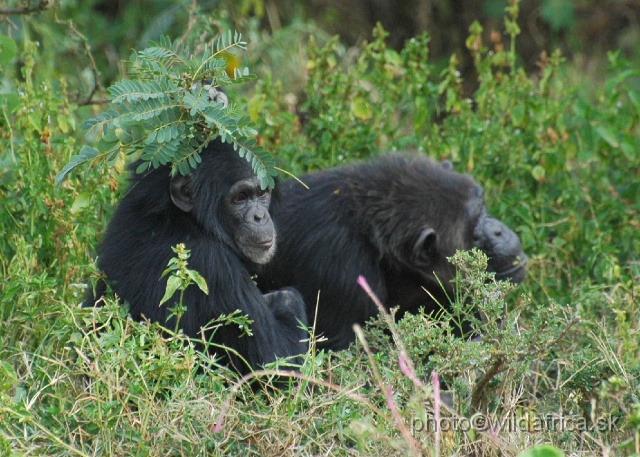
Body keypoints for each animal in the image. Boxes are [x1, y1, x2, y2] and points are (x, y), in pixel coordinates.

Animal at [89, 139, 308, 374]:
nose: (260, 217)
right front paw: (279, 298)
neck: (185, 220)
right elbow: (276, 361)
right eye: (239, 198)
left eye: (261, 193)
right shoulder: (215, 267)